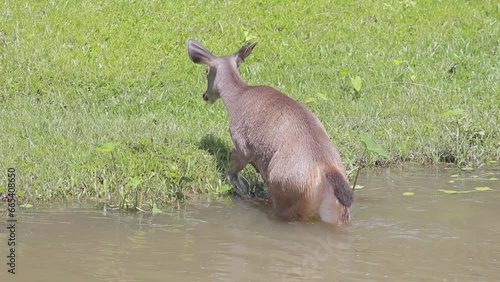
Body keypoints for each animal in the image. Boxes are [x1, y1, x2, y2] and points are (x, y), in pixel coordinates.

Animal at [188, 39, 356, 225]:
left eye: (206, 70)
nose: (205, 95)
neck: (236, 99)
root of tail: (328, 172)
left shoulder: (241, 143)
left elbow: (233, 172)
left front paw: (240, 187)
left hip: (285, 192)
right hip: (337, 213)